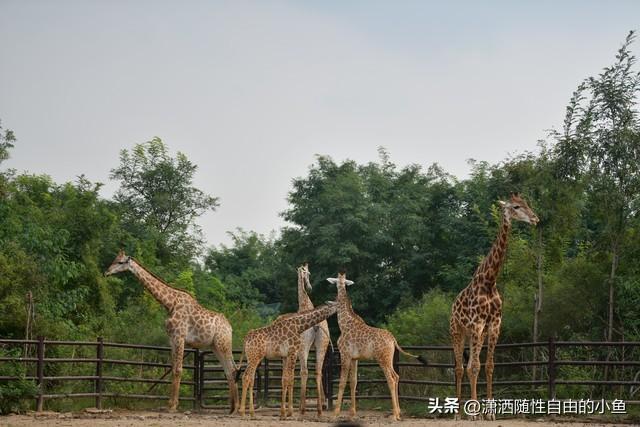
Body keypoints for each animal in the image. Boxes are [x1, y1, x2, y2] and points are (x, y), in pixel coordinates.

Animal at [105, 251, 240, 414]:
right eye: (114, 259)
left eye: (120, 262)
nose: (106, 272)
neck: (169, 304)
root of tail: (230, 327)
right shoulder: (172, 339)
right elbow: (172, 368)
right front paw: (169, 404)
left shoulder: (180, 337)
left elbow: (178, 370)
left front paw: (173, 406)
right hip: (215, 346)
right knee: (228, 371)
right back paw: (231, 408)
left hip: (223, 344)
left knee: (232, 369)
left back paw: (237, 408)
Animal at [328, 272, 428, 420]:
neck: (343, 322)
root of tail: (393, 339)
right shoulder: (355, 358)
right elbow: (353, 381)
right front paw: (352, 413)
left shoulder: (344, 354)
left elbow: (342, 382)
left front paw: (335, 413)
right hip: (389, 359)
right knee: (396, 376)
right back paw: (399, 412)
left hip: (382, 359)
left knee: (391, 379)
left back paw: (394, 415)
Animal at [450, 194, 540, 422]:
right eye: (516, 206)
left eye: (527, 204)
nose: (535, 219)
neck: (490, 281)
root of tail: (452, 305)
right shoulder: (476, 324)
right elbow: (474, 367)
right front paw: (474, 414)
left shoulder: (494, 325)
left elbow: (488, 366)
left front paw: (489, 413)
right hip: (457, 331)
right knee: (459, 367)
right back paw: (458, 414)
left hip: (475, 334)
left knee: (469, 364)